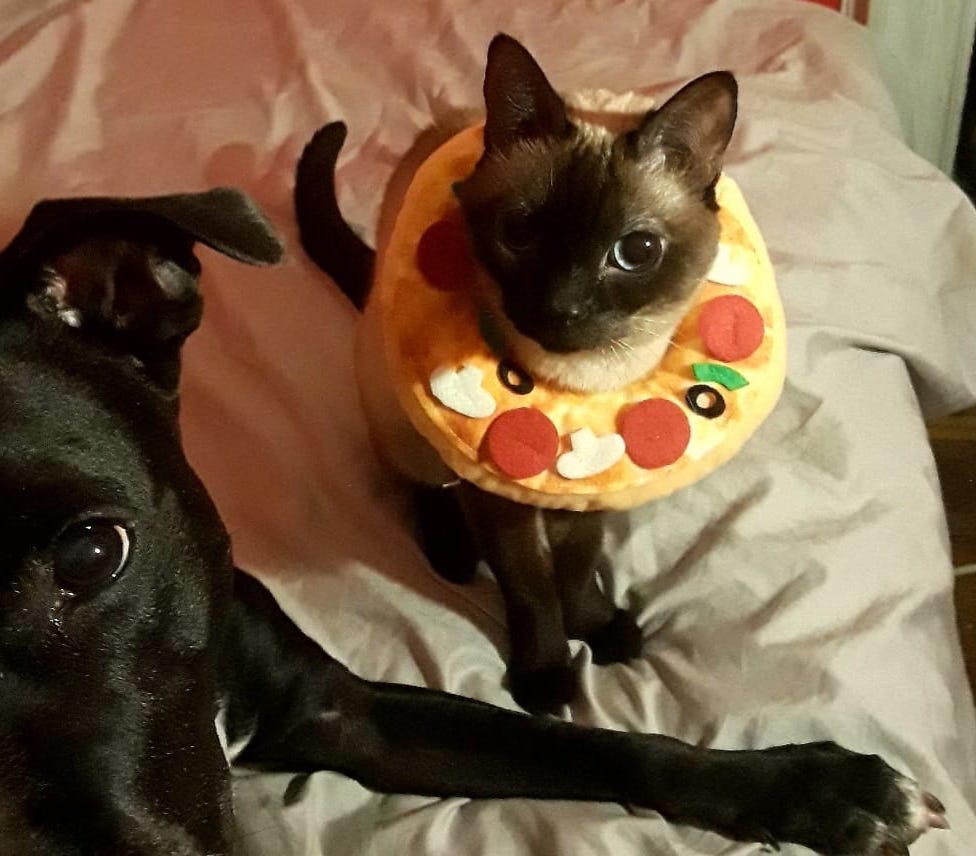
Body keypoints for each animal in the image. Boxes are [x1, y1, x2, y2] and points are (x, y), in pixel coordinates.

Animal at [295, 34, 736, 715]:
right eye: (521, 232)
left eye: (635, 253)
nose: (562, 307)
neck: (579, 382)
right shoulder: (497, 497)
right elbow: (529, 584)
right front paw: (548, 676)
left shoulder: (599, 479)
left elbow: (578, 566)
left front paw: (596, 626)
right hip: (395, 411)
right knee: (424, 483)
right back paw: (453, 554)